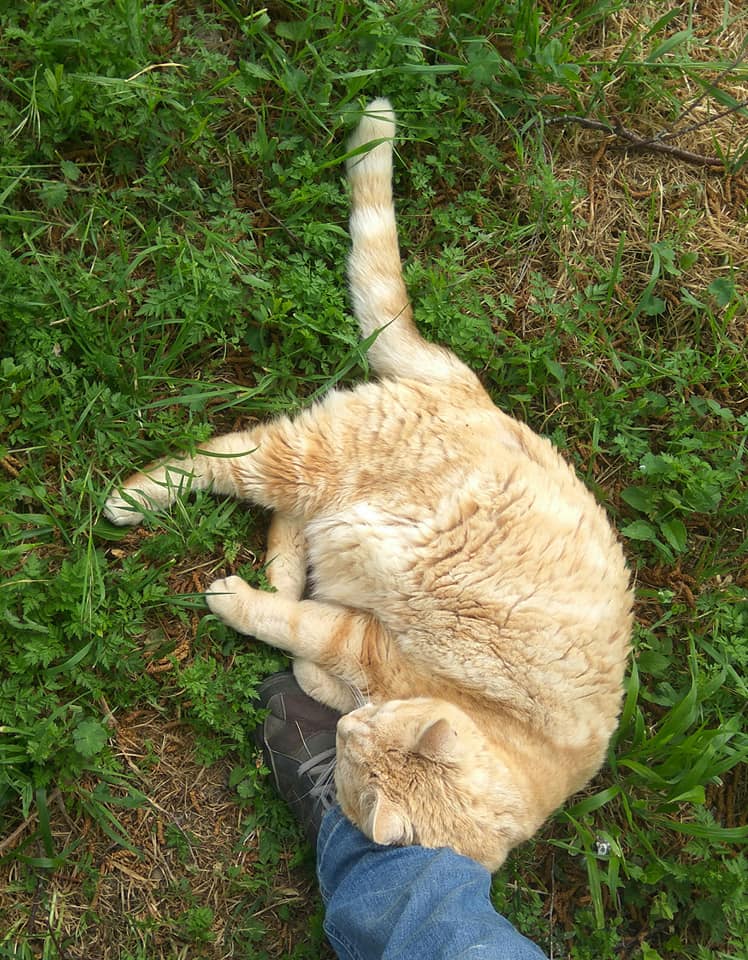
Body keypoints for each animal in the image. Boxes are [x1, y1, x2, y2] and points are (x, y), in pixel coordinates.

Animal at [105, 99, 632, 872]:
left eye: (355, 759)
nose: (347, 734)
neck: (517, 743)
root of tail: (473, 390)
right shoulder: (368, 644)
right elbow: (298, 626)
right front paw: (242, 605)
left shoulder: (360, 654)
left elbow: (304, 645)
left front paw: (286, 638)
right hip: (318, 458)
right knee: (225, 459)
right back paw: (133, 498)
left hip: (332, 496)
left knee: (289, 522)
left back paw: (283, 571)